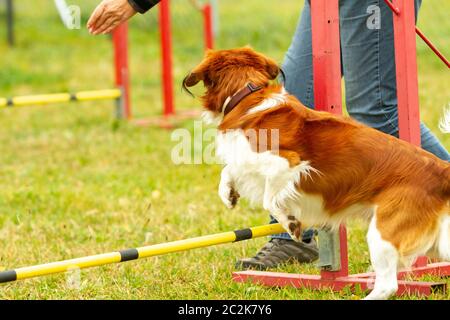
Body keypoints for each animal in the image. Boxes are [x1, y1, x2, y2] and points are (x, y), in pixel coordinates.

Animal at [183, 47, 450, 300]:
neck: (247, 96)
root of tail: (441, 171)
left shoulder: (286, 162)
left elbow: (269, 198)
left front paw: (291, 223)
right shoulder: (247, 158)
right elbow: (229, 169)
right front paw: (228, 195)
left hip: (383, 233)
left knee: (388, 285)